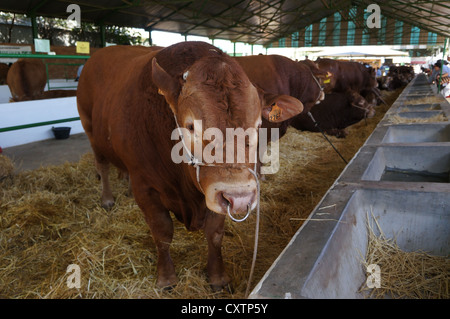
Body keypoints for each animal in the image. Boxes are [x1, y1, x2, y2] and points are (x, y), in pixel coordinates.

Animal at [77, 42, 304, 290]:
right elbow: (162, 232)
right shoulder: (145, 187)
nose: (239, 197)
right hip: (91, 131)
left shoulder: (212, 193)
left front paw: (217, 277)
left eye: (257, 125)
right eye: (191, 126)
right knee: (103, 166)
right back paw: (107, 198)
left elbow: (215, 233)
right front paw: (166, 277)